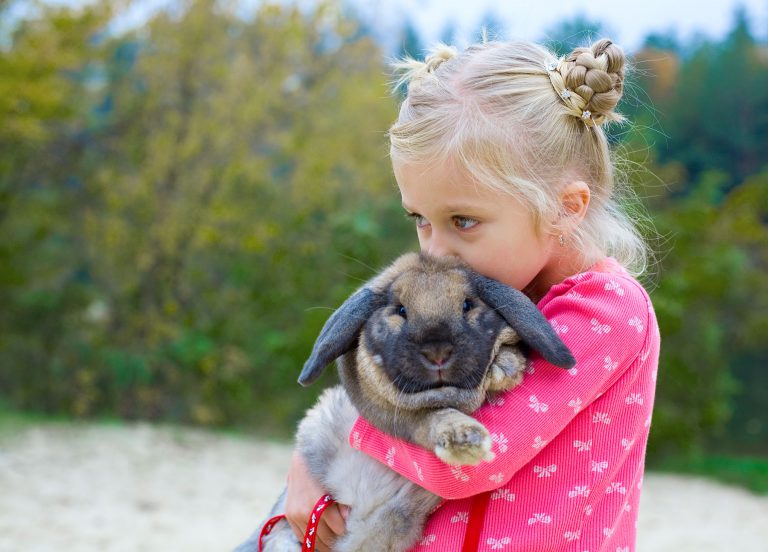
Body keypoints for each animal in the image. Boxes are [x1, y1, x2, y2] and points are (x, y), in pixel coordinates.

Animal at [244, 253, 568, 552]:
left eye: (467, 304)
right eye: (400, 310)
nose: (437, 352)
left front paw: (505, 366)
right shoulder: (396, 417)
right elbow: (431, 418)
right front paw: (465, 440)